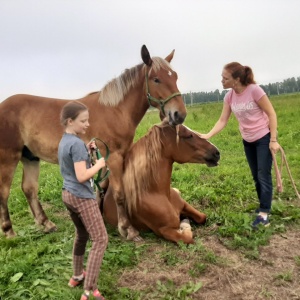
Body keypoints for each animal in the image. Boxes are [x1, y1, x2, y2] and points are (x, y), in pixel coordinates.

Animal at [0, 45, 188, 239]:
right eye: (156, 79)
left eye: (175, 76)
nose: (179, 114)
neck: (116, 111)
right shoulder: (114, 158)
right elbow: (119, 193)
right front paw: (127, 228)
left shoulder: (103, 159)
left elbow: (102, 189)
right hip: (8, 158)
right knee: (4, 192)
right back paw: (9, 231)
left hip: (30, 157)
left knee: (29, 188)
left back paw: (46, 223)